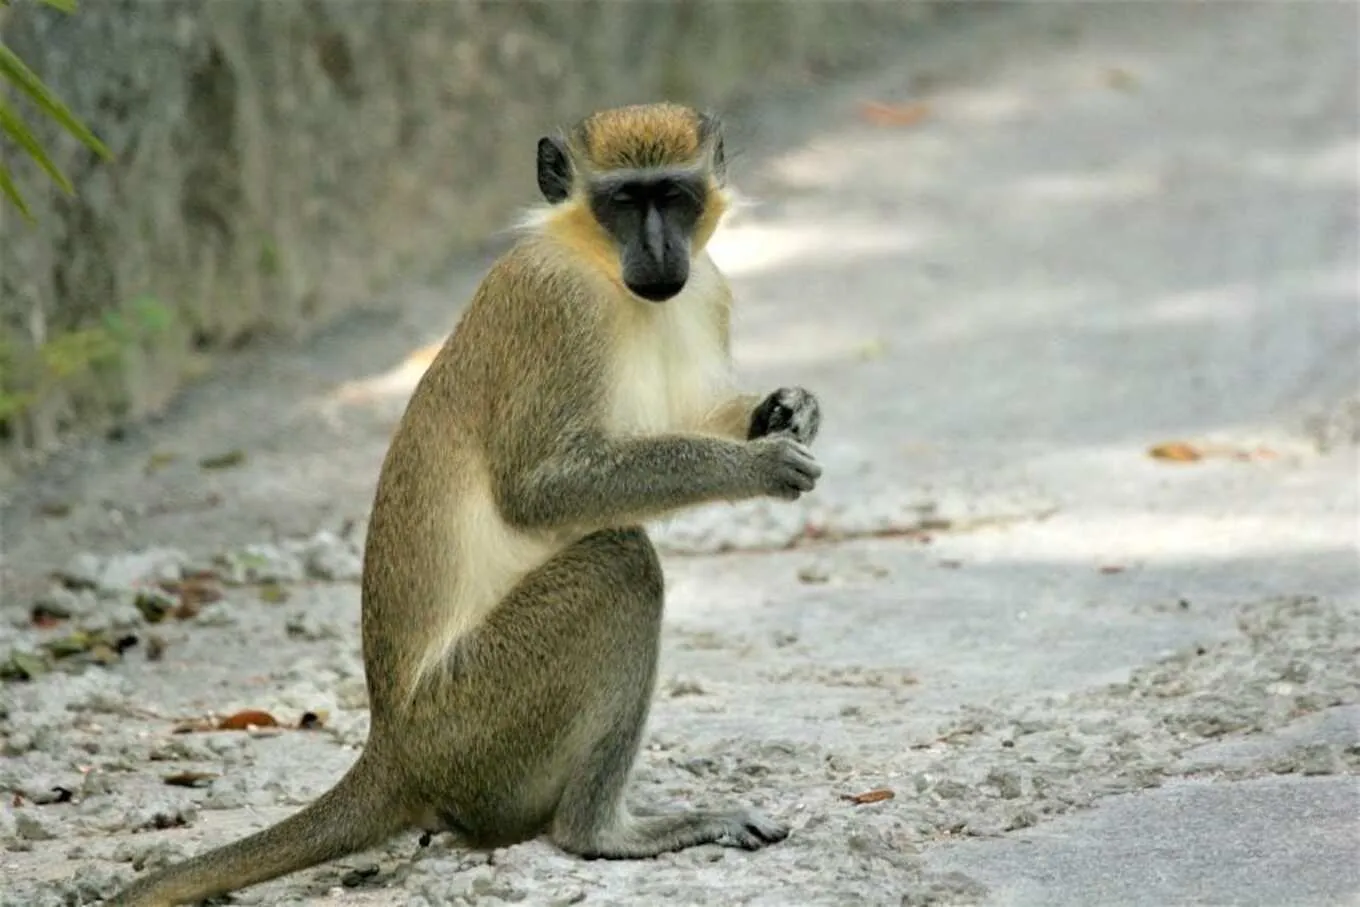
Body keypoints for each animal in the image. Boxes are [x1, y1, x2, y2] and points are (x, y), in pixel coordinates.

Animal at [106, 101, 823, 907]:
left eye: (673, 196)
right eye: (622, 201)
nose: (659, 248)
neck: (603, 271)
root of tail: (392, 747)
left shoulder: (707, 287)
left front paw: (786, 409)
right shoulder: (555, 303)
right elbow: (539, 490)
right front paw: (757, 464)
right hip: (473, 724)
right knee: (621, 563)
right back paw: (600, 831)